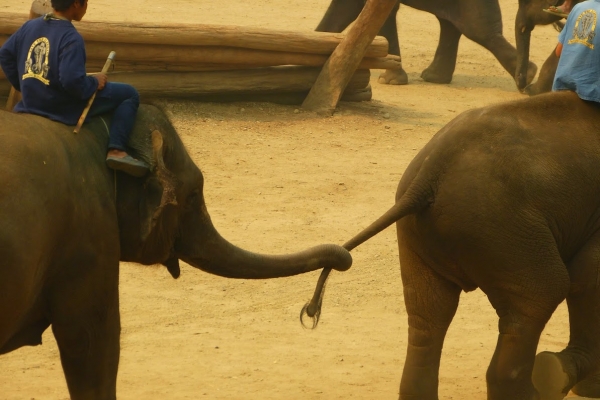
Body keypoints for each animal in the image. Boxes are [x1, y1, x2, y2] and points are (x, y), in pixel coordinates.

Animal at [304, 90, 600, 400]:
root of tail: (429, 173)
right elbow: (588, 277)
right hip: (498, 223)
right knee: (541, 293)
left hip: (431, 230)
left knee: (428, 312)